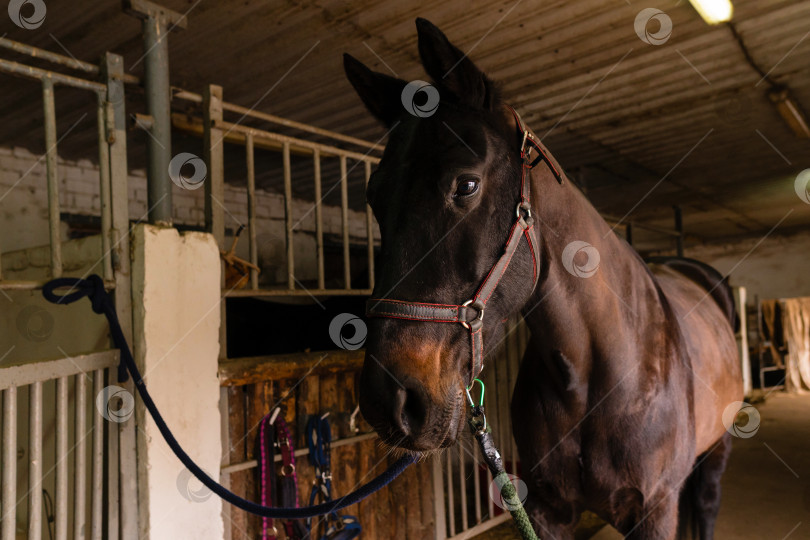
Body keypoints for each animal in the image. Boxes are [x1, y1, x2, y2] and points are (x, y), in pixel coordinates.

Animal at [344, 19, 740, 536]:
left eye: (466, 184)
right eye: (374, 197)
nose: (388, 398)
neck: (596, 377)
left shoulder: (655, 511)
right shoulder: (547, 512)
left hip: (718, 449)